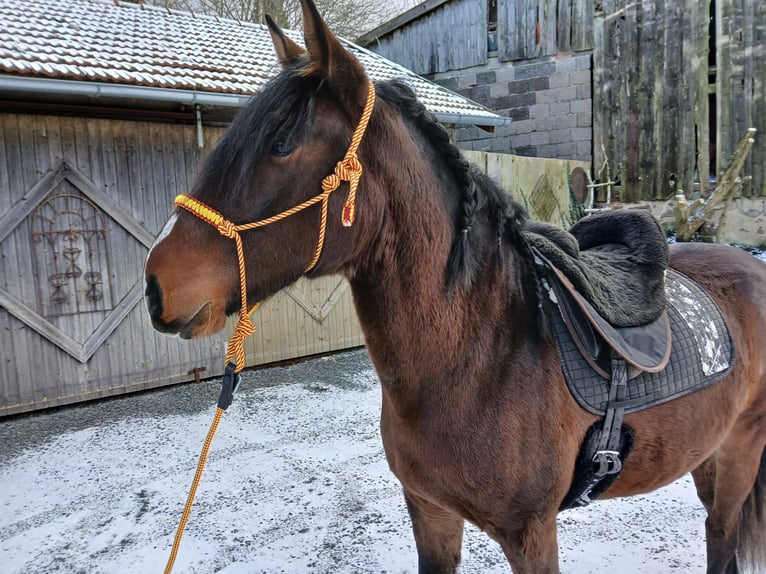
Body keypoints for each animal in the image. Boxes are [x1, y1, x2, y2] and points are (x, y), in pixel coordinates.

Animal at [144, 1, 766, 572]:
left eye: (280, 143)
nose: (155, 286)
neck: (475, 360)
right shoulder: (430, 513)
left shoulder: (530, 534)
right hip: (706, 454)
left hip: (740, 451)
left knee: (721, 536)